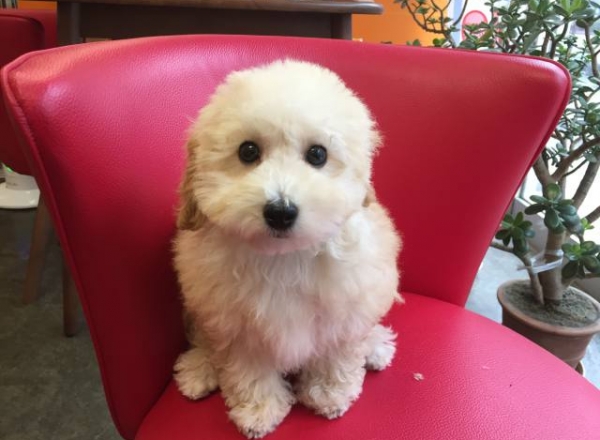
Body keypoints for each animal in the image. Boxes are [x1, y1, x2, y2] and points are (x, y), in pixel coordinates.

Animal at [173, 59, 402, 438]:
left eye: (318, 154)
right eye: (248, 151)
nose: (280, 211)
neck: (284, 258)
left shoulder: (345, 307)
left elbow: (337, 353)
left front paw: (329, 393)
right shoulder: (238, 324)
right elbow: (248, 369)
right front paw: (258, 410)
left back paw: (376, 347)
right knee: (205, 338)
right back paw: (199, 368)